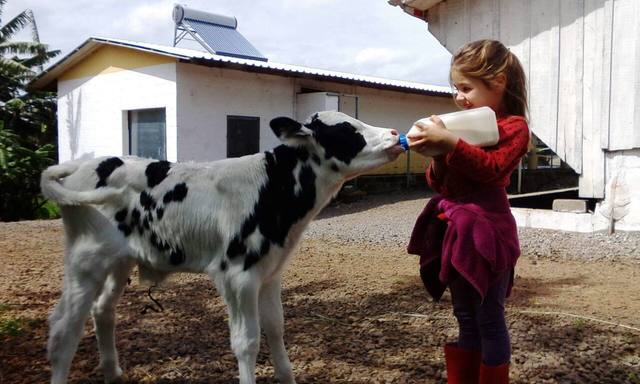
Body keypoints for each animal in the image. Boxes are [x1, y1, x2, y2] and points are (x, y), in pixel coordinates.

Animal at [40, 111, 402, 384]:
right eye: (346, 130)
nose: (395, 132)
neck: (272, 188)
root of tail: (81, 164)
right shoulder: (238, 275)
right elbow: (247, 342)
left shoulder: (270, 272)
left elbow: (275, 327)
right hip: (86, 260)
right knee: (63, 329)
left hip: (120, 260)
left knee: (102, 310)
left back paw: (113, 373)